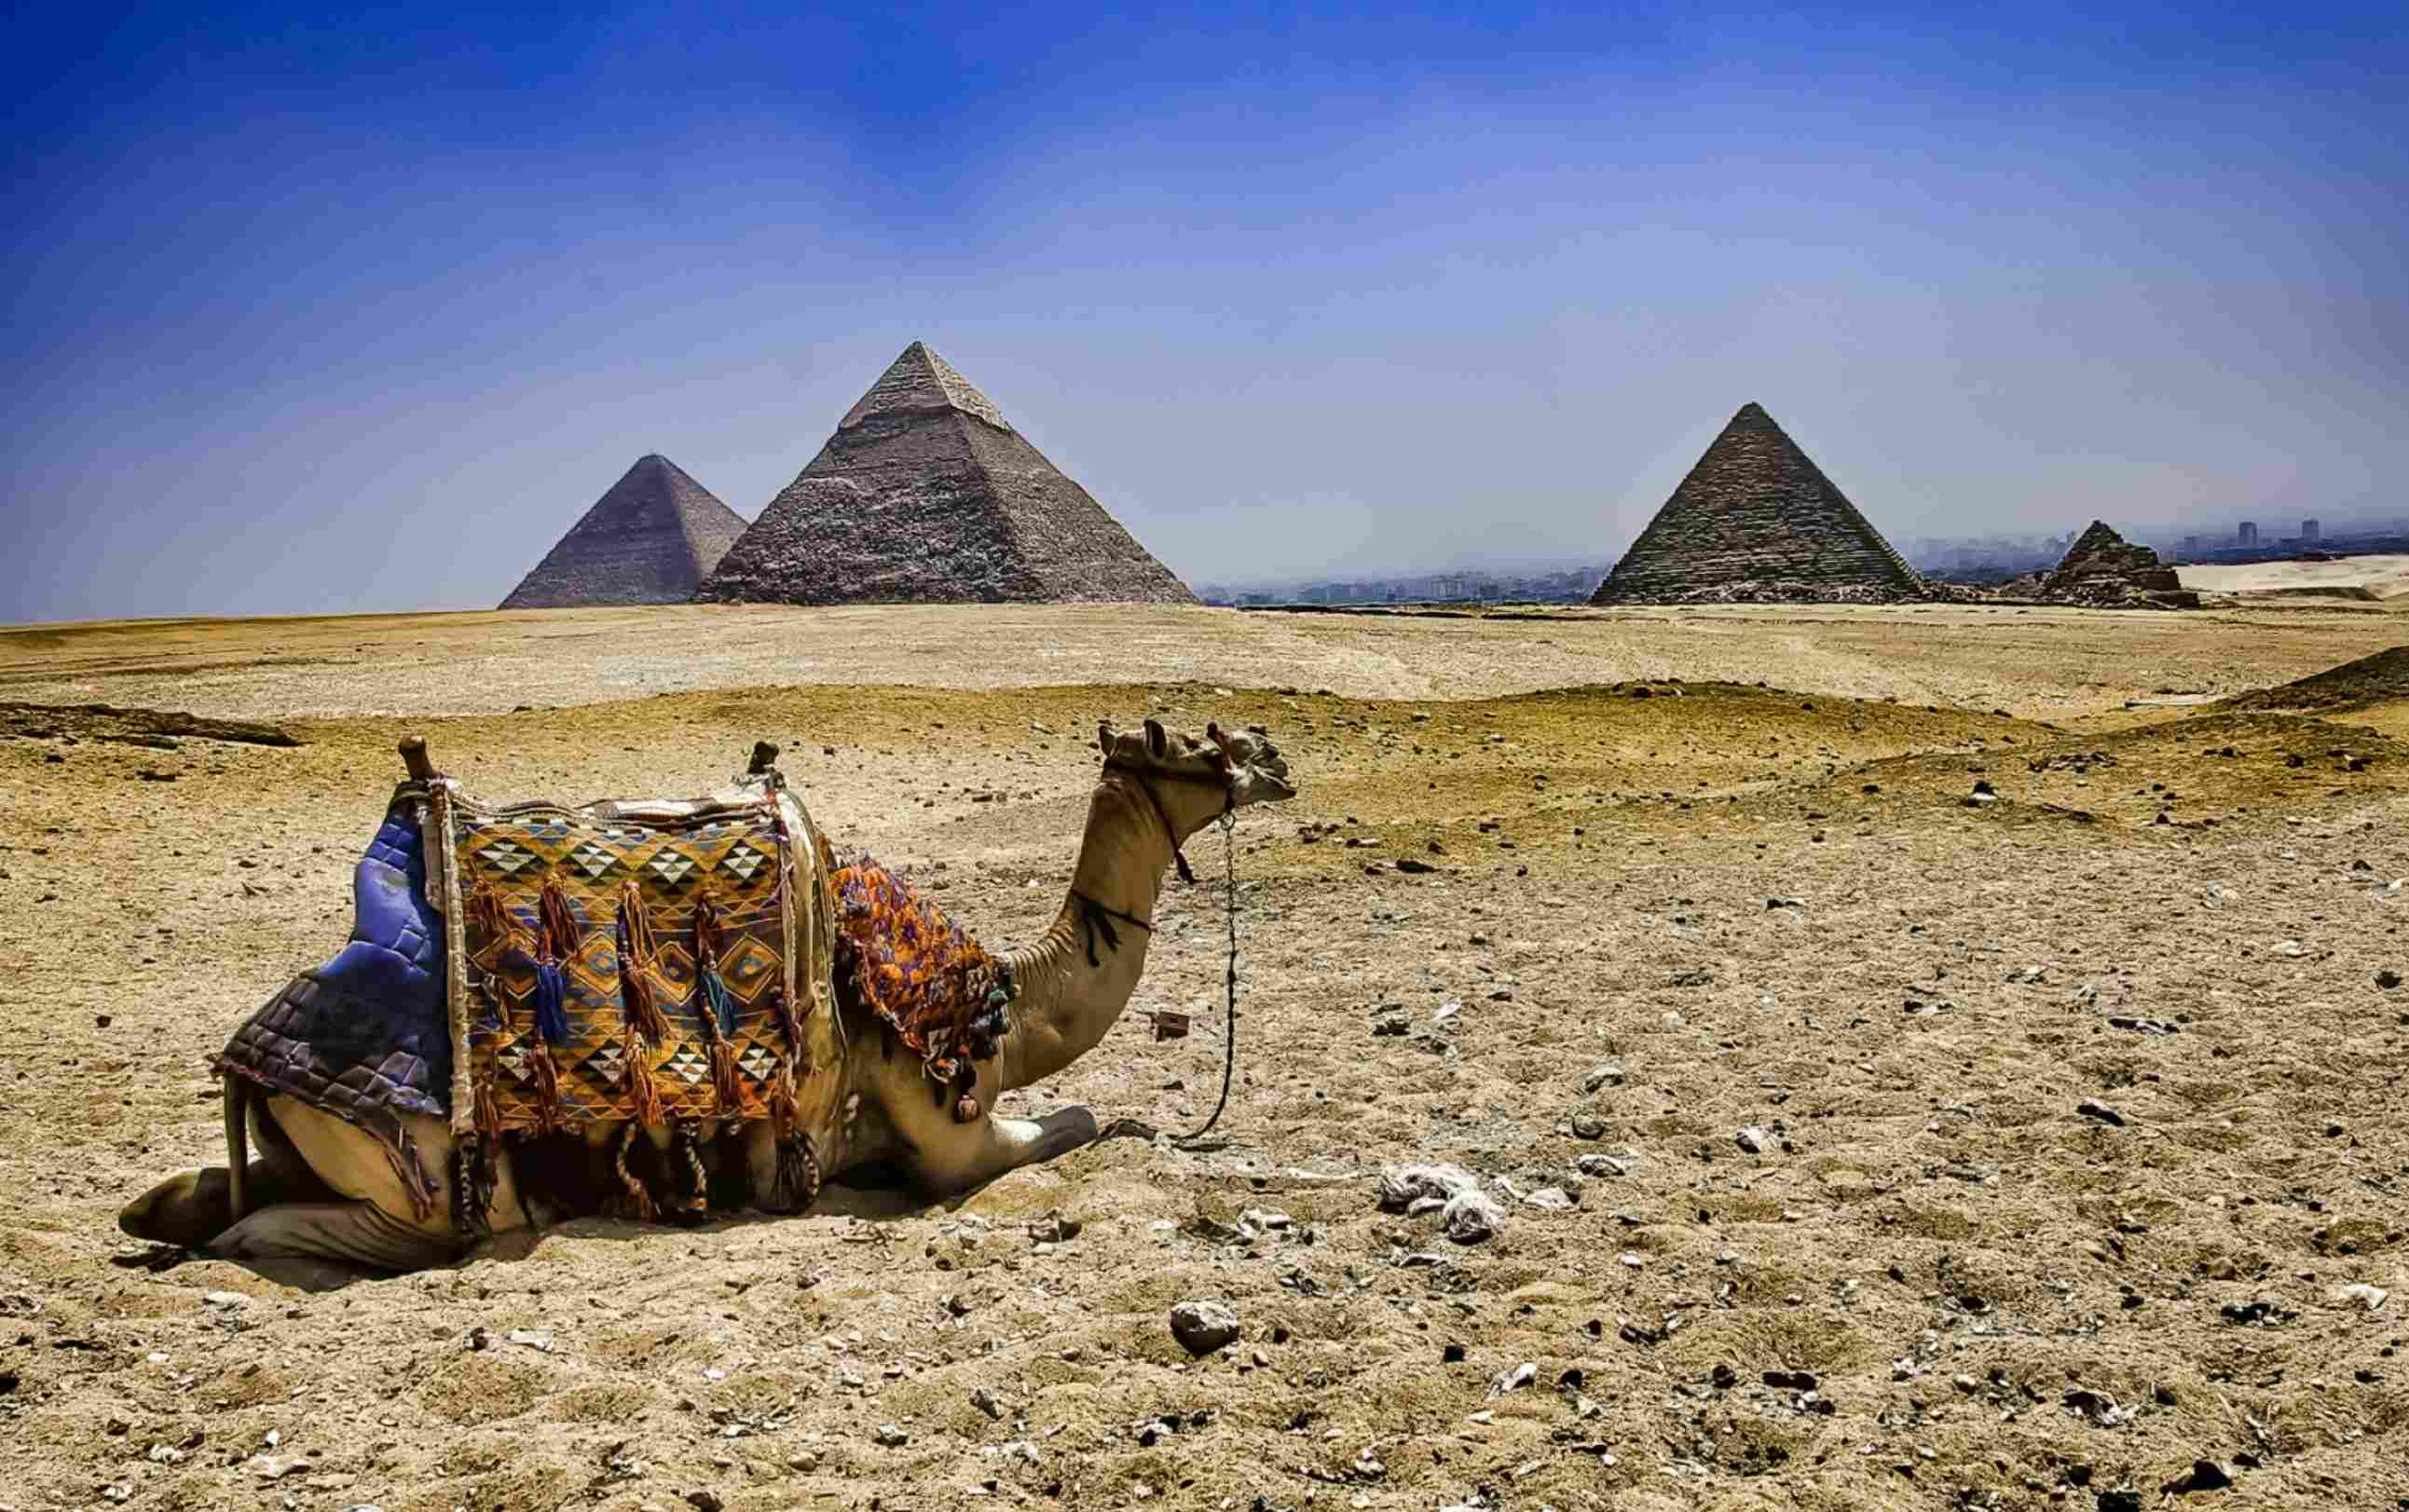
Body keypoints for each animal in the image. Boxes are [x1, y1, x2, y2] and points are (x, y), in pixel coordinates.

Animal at [119, 717, 1294, 1272]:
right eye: (1201, 747)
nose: (1274, 759)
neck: (1005, 997)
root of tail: (252, 1060)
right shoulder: (943, 1128)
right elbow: (1078, 1118)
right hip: (437, 1182)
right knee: (320, 1229)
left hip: (311, 1141)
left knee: (209, 1189)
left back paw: (159, 1210)